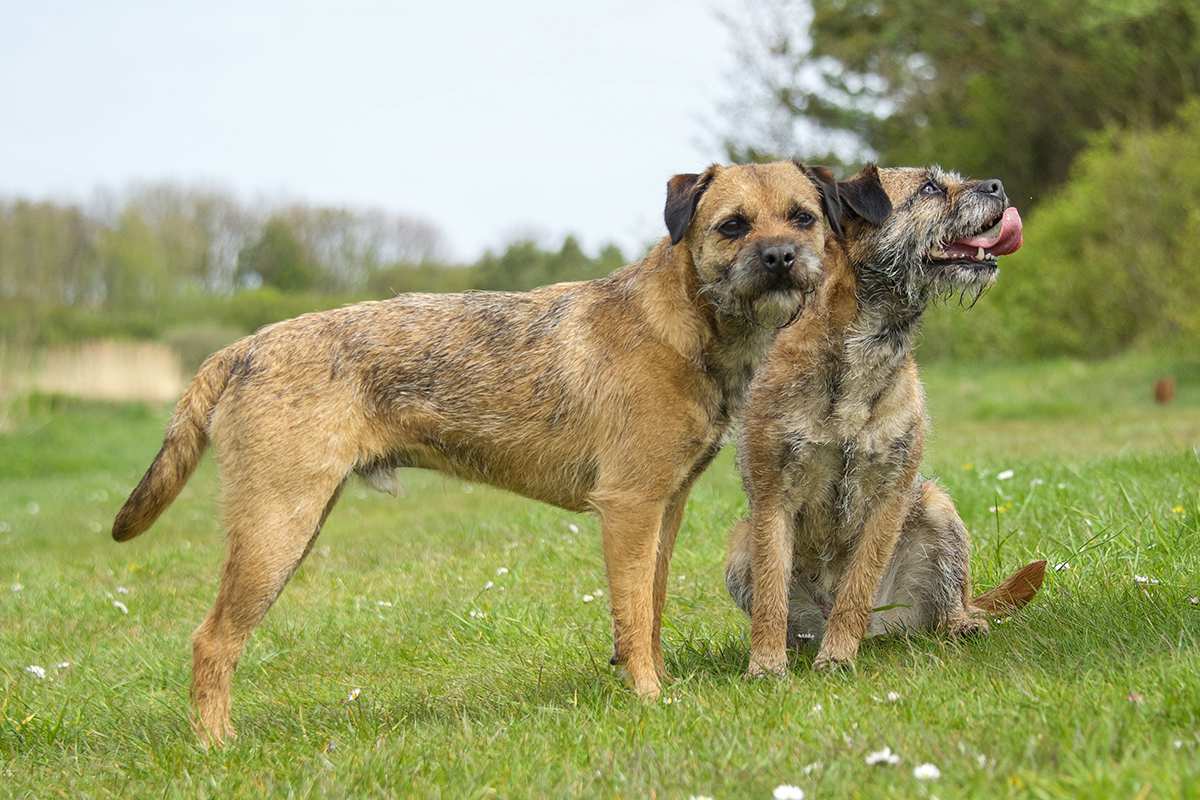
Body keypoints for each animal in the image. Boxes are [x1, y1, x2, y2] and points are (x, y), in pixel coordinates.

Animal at [112, 158, 844, 743]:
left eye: (802, 218)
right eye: (732, 226)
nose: (780, 257)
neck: (685, 322)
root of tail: (242, 349)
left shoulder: (666, 506)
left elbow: (653, 605)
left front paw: (656, 684)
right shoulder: (630, 506)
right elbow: (634, 613)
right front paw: (646, 696)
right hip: (276, 526)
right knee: (212, 640)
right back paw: (216, 744)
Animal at [724, 165, 1046, 681]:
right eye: (930, 187)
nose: (996, 185)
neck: (868, 344)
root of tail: (880, 631)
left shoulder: (889, 497)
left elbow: (856, 587)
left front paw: (837, 656)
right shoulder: (774, 497)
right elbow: (772, 595)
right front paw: (766, 666)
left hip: (936, 507)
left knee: (946, 604)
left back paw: (959, 623)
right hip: (740, 546)